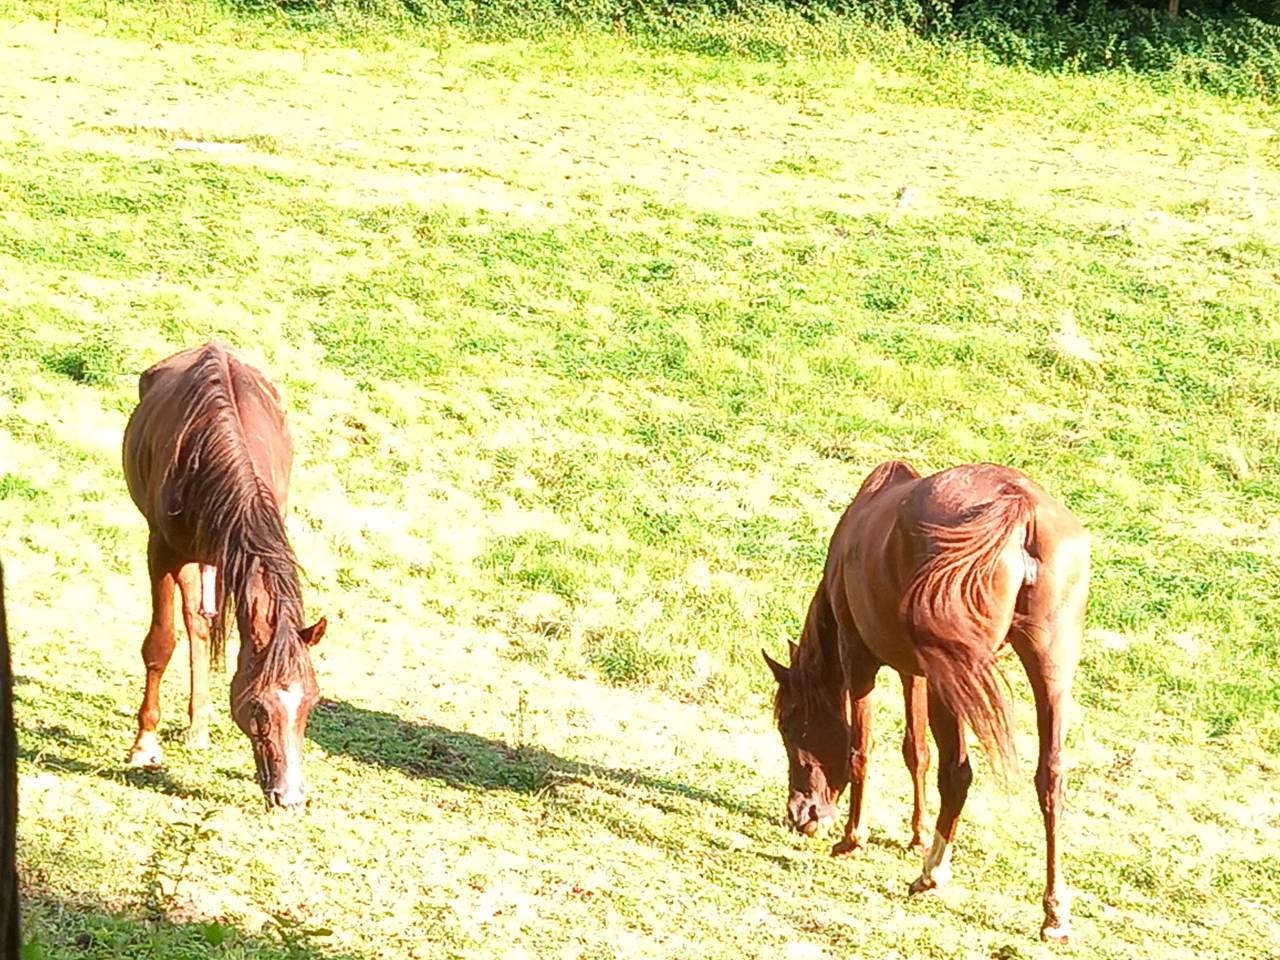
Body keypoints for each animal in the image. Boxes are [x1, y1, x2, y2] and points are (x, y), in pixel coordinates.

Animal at [122, 342, 327, 809]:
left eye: (310, 703)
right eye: (258, 706)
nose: (290, 798)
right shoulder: (163, 551)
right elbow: (161, 644)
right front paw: (144, 745)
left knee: (200, 622)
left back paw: (198, 726)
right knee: (194, 624)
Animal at [763, 461, 1088, 942]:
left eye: (788, 723)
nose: (801, 815)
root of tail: (1019, 509)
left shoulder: (858, 658)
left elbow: (862, 749)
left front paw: (853, 838)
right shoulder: (912, 672)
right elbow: (915, 751)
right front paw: (916, 834)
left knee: (959, 772)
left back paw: (931, 873)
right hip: (1048, 669)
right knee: (1050, 779)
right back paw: (1054, 912)